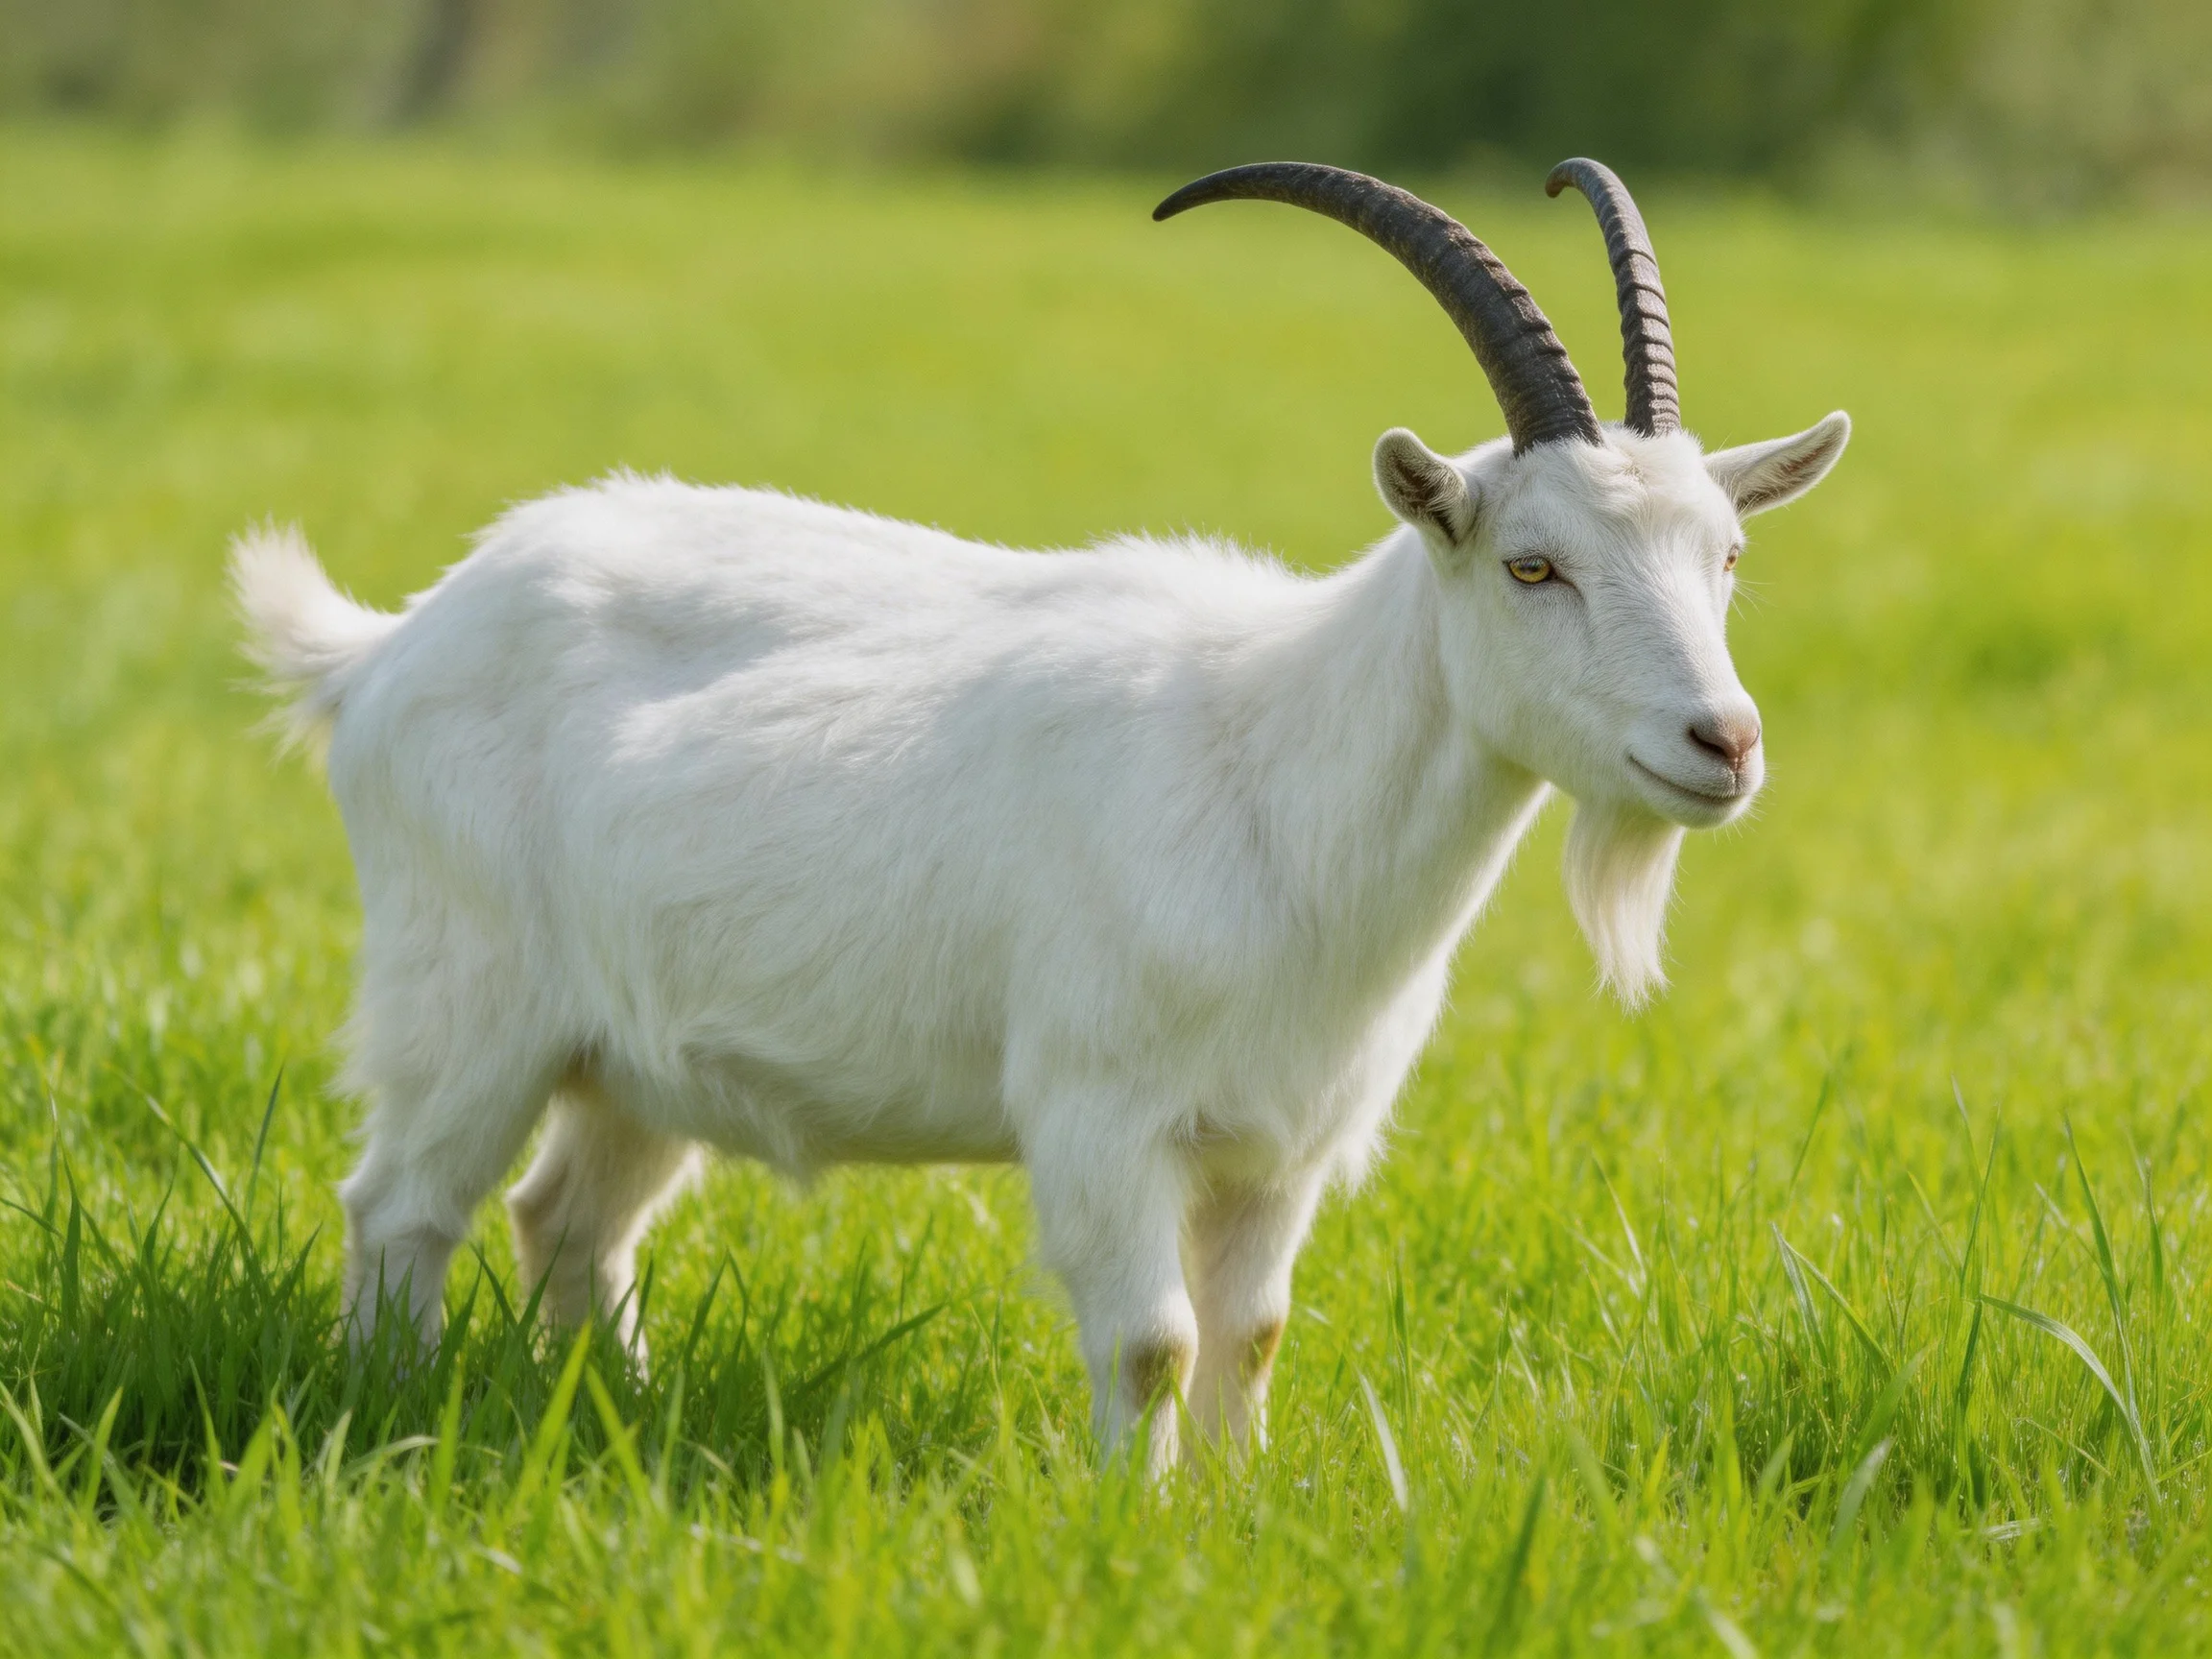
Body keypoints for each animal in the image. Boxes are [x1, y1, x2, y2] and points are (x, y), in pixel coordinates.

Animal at [234, 160, 1848, 1473]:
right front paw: (1133, 1527)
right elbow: (1155, 1340)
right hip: (470, 996)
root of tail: (388, 646)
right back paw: (391, 1412)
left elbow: (1251, 1332)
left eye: (1726, 553)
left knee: (570, 1216)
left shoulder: (1284, 1145)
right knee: (402, 1205)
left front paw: (1234, 1509)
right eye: (1532, 565)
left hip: (627, 1053)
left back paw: (610, 1416)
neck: (1274, 773)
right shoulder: (1102, 1111)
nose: (1722, 742)